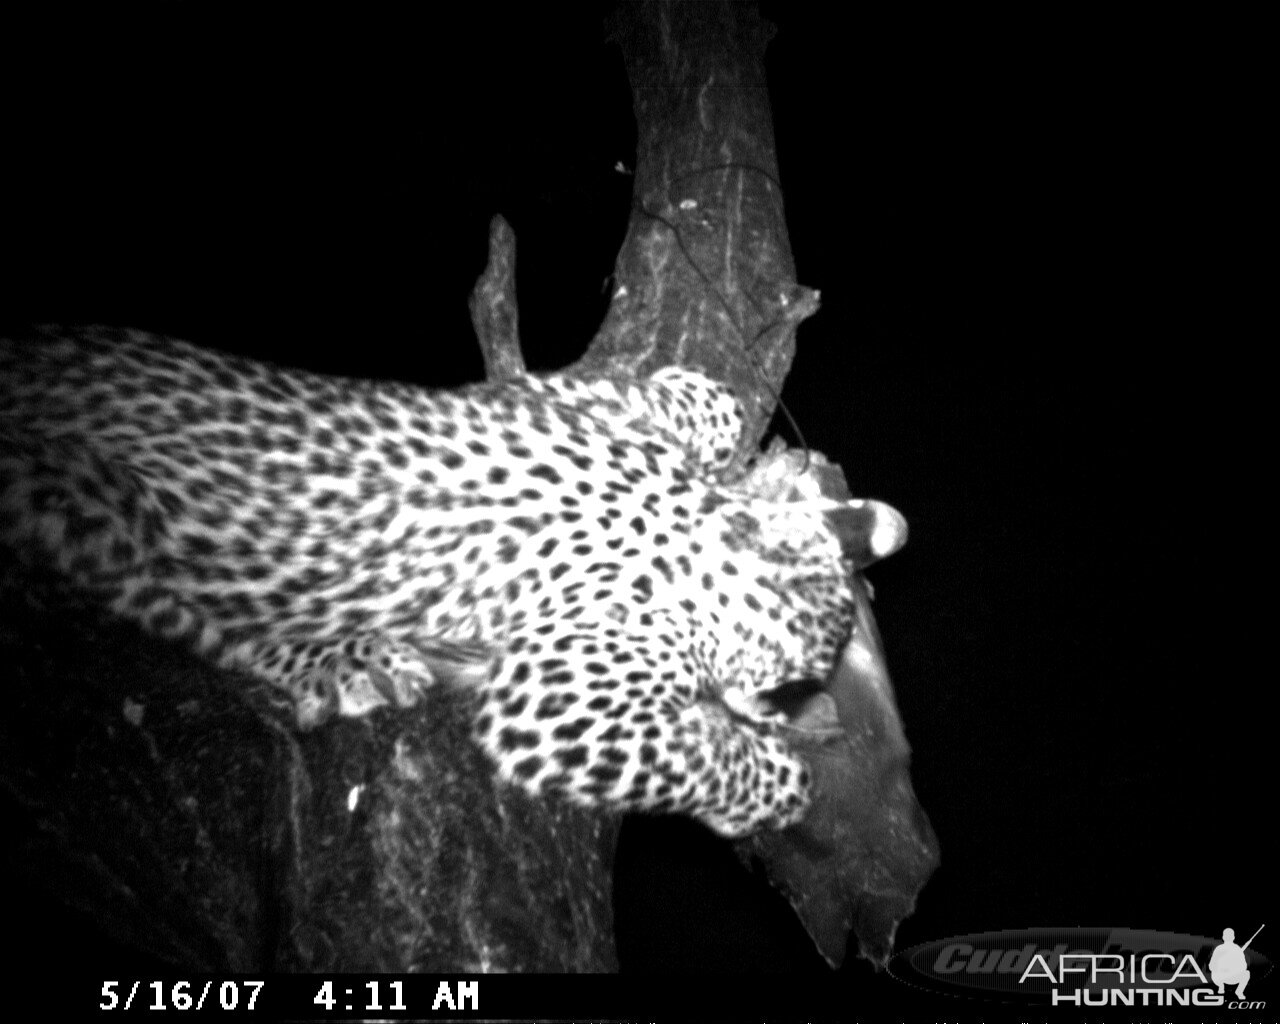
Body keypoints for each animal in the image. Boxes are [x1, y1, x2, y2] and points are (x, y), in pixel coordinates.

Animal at [0, 327, 901, 839]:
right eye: (798, 686)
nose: (798, 715)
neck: (689, 527)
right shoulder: (553, 700)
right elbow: (687, 755)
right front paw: (778, 790)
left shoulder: (536, 396)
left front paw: (703, 400)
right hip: (88, 505)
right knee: (174, 607)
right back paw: (340, 658)